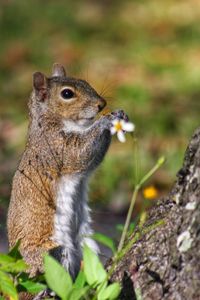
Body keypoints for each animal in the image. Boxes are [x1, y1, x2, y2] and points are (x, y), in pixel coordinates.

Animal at [7, 62, 128, 284]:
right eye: (67, 94)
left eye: (84, 81)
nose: (102, 104)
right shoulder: (56, 148)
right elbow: (79, 154)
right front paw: (106, 120)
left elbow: (91, 160)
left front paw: (118, 114)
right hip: (49, 255)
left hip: (87, 244)